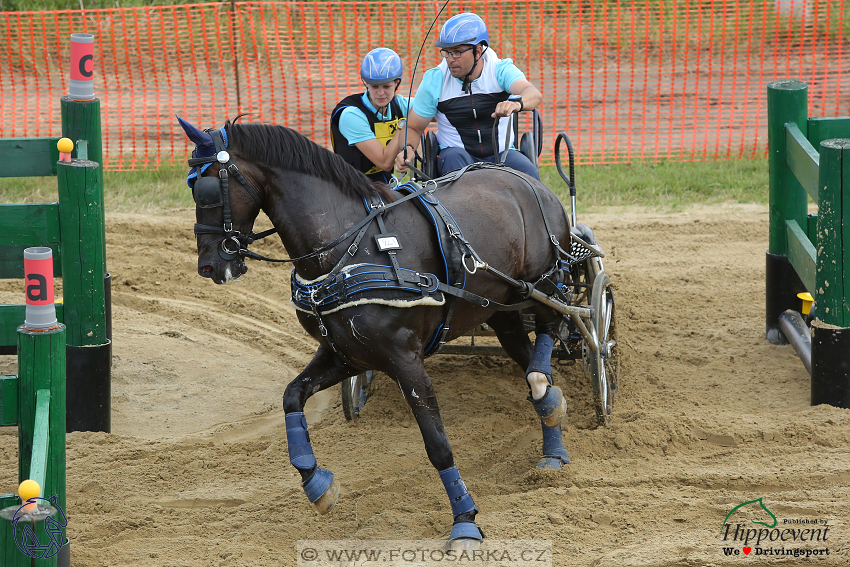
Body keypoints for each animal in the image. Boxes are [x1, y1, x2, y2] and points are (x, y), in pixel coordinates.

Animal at [181, 116, 572, 544]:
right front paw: (317, 484)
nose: (208, 267)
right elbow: (291, 396)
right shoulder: (346, 355)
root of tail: (527, 179)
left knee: (553, 329)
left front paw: (465, 519)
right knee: (529, 357)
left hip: (543, 285)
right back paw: (552, 443)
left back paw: (547, 396)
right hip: (500, 311)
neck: (351, 248)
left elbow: (437, 444)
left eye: (205, 188)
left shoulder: (405, 359)